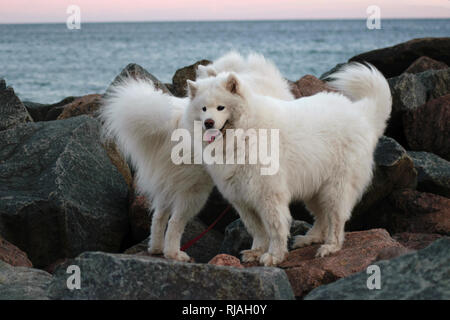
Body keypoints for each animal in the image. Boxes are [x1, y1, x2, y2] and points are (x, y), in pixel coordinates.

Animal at [100, 52, 294, 262]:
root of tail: (175, 121)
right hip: (195, 191)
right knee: (175, 222)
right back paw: (174, 253)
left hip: (169, 186)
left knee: (158, 216)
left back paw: (156, 248)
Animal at [185, 62, 392, 264]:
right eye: (203, 109)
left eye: (221, 107)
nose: (208, 123)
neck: (244, 133)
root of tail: (360, 113)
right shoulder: (242, 199)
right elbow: (257, 229)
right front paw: (256, 251)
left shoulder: (268, 193)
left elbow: (275, 228)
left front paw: (274, 255)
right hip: (314, 187)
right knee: (322, 217)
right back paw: (309, 238)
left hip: (336, 187)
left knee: (336, 219)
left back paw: (330, 247)